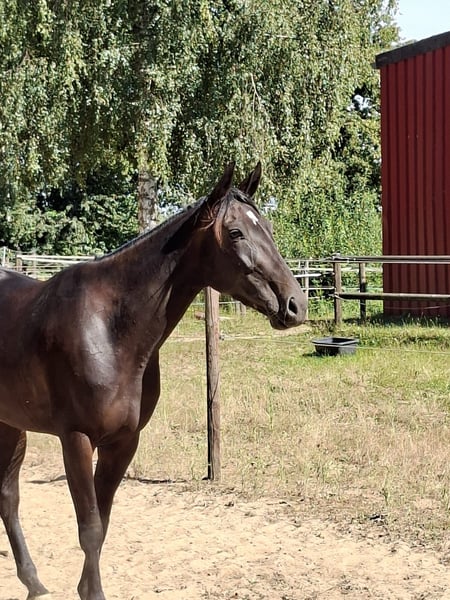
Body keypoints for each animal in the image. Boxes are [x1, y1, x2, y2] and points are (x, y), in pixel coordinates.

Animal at [0, 162, 307, 600]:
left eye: (266, 225)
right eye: (235, 232)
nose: (295, 305)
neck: (110, 328)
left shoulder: (124, 441)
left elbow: (102, 526)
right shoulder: (76, 439)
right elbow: (89, 529)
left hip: (10, 424)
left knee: (8, 497)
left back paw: (34, 582)